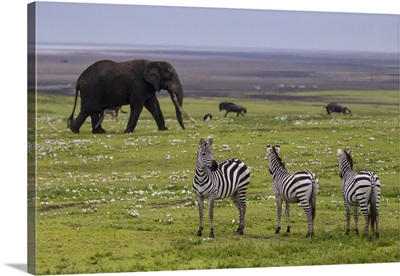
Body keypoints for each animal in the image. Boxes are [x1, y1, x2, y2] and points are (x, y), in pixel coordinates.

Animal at [67, 59, 195, 134]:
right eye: (171, 77)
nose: (184, 129)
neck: (153, 62)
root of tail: (79, 80)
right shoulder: (139, 84)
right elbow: (138, 106)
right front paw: (128, 131)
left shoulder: (148, 86)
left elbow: (153, 104)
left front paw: (164, 129)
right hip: (92, 89)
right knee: (89, 108)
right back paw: (74, 130)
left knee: (93, 110)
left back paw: (99, 132)